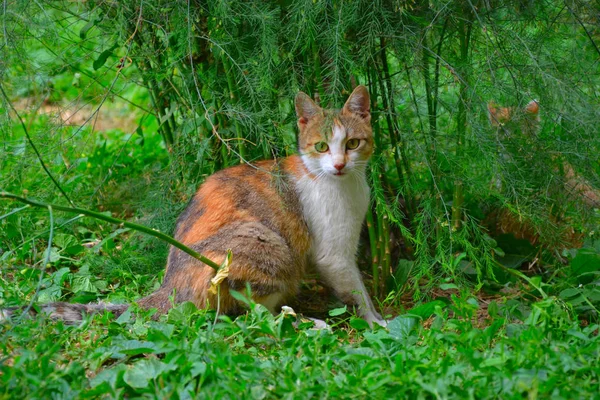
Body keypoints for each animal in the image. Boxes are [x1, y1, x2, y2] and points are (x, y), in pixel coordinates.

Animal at [2, 86, 386, 326]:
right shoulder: (333, 255)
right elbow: (357, 290)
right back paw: (307, 321)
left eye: (352, 143)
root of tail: (169, 286)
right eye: (322, 146)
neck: (347, 187)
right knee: (248, 310)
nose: (339, 164)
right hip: (266, 244)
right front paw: (377, 321)